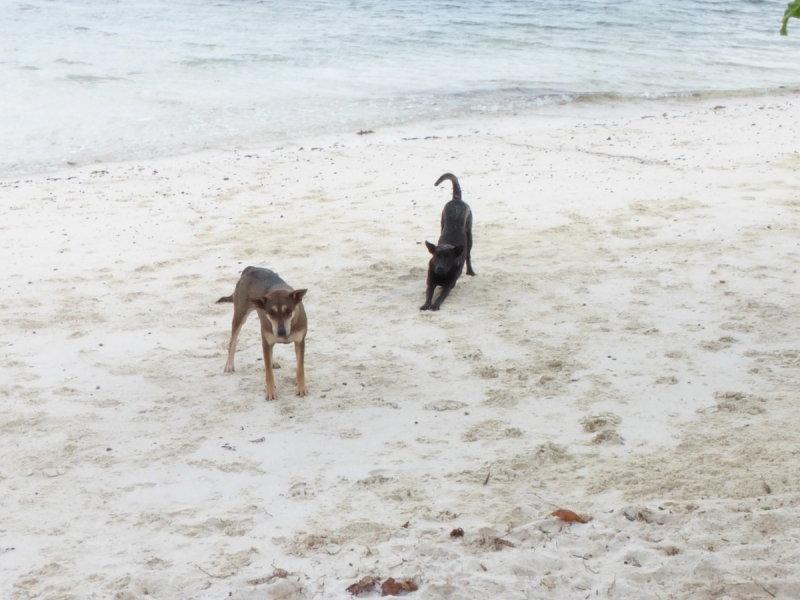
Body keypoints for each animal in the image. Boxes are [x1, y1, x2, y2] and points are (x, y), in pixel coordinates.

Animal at [217, 266, 308, 398]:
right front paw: (270, 392)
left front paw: (301, 388)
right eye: (271, 312)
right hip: (240, 313)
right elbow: (268, 372)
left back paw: (273, 361)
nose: (281, 332)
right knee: (233, 341)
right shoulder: (266, 340)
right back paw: (229, 365)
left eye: (288, 311)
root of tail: (250, 268)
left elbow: (300, 368)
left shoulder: (300, 341)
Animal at [418, 171, 476, 312]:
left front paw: (435, 305)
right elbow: (429, 293)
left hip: (470, 235)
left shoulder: (449, 284)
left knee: (468, 255)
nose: (439, 268)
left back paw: (470, 271)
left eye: (448, 258)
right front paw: (426, 304)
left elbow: (441, 295)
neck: (442, 275)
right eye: (436, 257)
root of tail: (457, 200)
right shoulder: (430, 281)